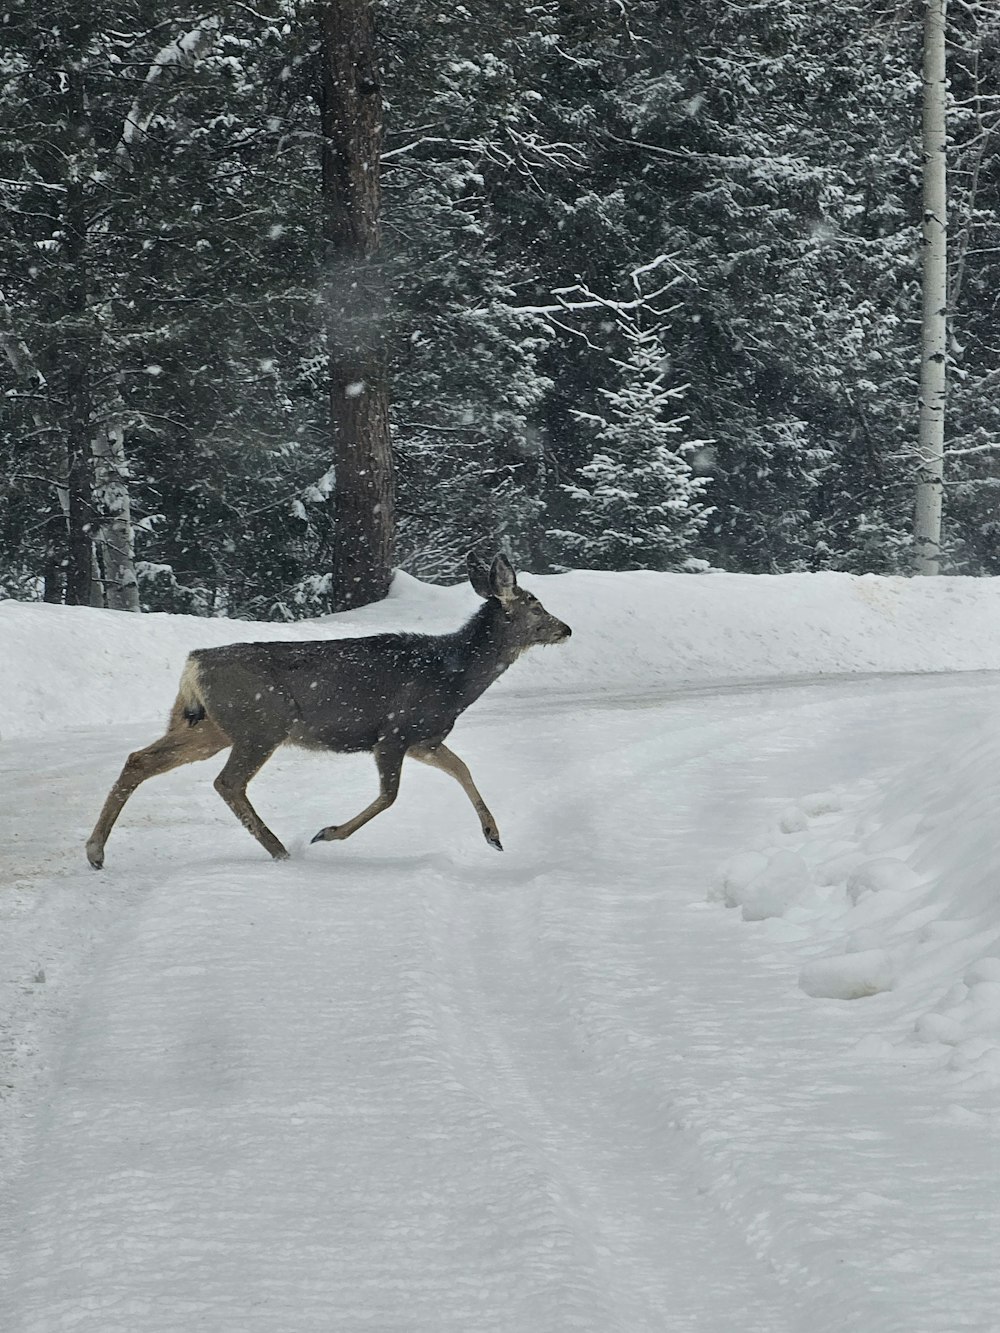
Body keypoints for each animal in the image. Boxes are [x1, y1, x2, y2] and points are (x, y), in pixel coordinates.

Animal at [86, 549, 570, 869]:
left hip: (208, 726)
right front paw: (328, 833)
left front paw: (493, 836)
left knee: (140, 759)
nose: (565, 628)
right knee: (227, 782)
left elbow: (463, 769)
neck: (453, 677)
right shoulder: (393, 732)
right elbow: (390, 795)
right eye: (535, 606)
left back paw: (95, 852)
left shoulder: (425, 740)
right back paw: (282, 850)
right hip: (262, 722)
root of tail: (193, 664)